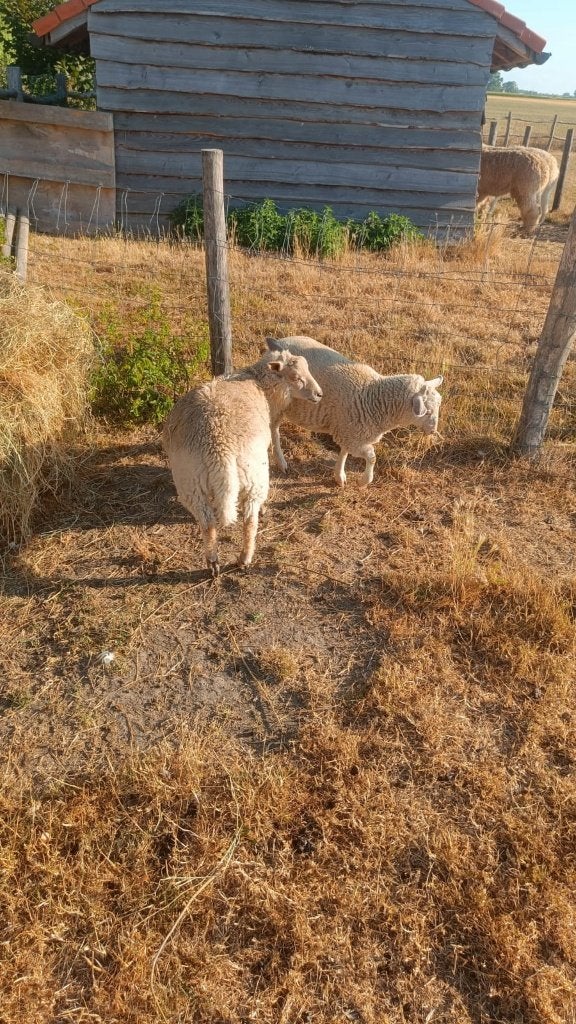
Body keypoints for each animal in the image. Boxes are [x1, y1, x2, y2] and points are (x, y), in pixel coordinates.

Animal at [162, 348, 322, 576]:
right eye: (295, 377)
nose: (319, 394)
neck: (257, 381)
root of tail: (218, 448)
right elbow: (275, 435)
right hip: (254, 476)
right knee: (249, 521)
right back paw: (245, 557)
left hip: (190, 481)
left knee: (207, 523)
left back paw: (213, 561)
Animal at [266, 336, 443, 487]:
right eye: (427, 412)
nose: (433, 431)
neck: (373, 396)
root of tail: (279, 343)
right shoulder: (352, 435)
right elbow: (372, 457)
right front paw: (364, 481)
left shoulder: (348, 431)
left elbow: (344, 452)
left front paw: (339, 476)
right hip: (276, 402)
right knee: (273, 430)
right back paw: (281, 462)